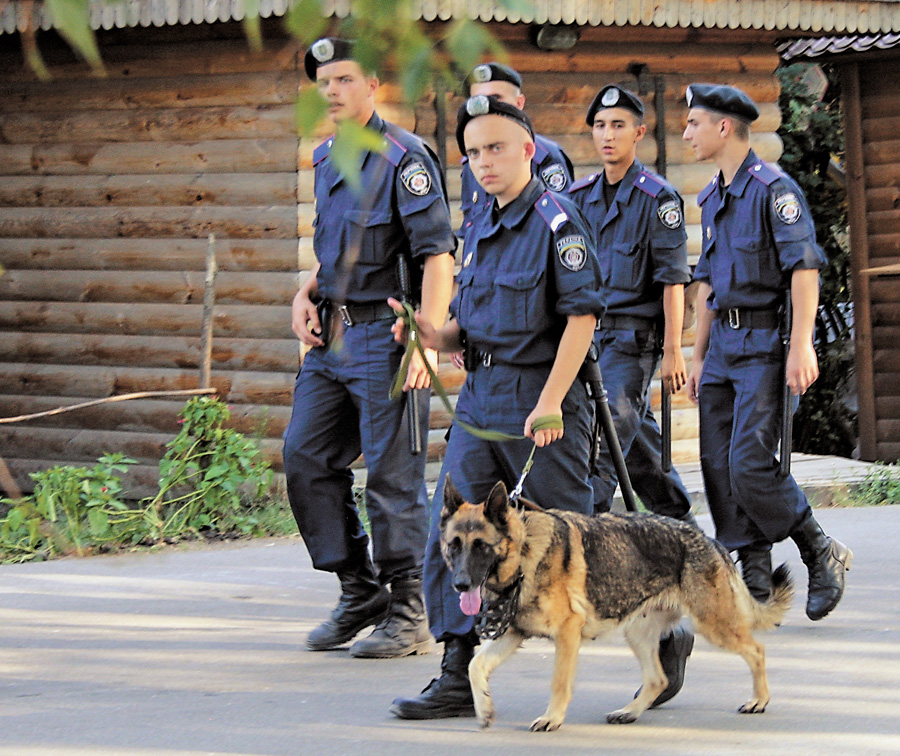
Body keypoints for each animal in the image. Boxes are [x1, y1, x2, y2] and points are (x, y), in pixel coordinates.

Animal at [440, 478, 792, 732]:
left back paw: (759, 700)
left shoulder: (566, 634)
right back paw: (630, 712)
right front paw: (484, 708)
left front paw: (552, 718)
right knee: (658, 679)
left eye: (481, 546)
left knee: (756, 651)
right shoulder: (512, 635)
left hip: (715, 625)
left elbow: (559, 682)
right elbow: (475, 666)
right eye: (453, 546)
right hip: (638, 634)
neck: (524, 555)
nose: (460, 585)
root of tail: (709, 540)